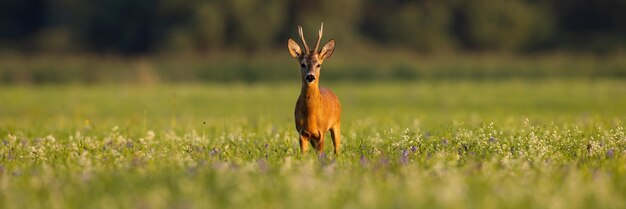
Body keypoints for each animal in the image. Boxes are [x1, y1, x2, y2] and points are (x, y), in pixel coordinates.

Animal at [288, 23, 342, 153]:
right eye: (303, 64)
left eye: (319, 65)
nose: (310, 76)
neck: (311, 116)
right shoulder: (302, 133)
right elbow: (304, 154)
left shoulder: (321, 133)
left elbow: (321, 153)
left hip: (337, 123)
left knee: (337, 149)